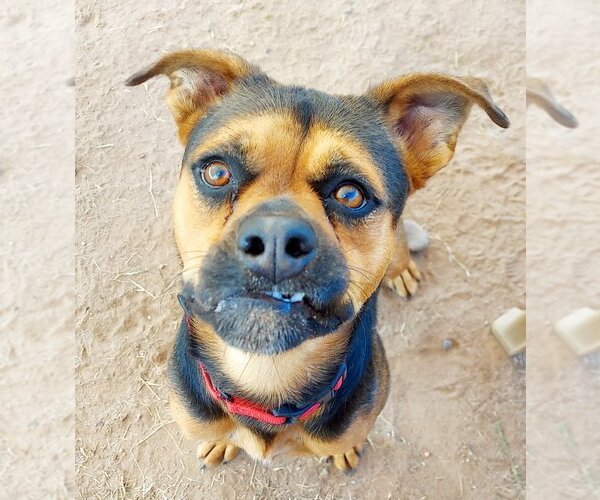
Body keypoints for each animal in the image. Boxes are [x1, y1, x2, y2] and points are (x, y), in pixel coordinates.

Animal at [126, 48, 510, 470]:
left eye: (351, 194)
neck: (266, 374)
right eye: (217, 172)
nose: (275, 239)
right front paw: (221, 443)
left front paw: (344, 451)